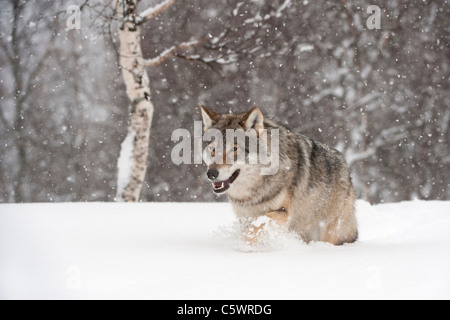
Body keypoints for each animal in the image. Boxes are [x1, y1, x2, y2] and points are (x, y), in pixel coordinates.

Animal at [200, 105, 358, 245]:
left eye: (234, 149)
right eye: (212, 149)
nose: (211, 174)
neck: (251, 195)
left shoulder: (282, 212)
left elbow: (258, 225)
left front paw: (243, 246)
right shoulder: (244, 217)